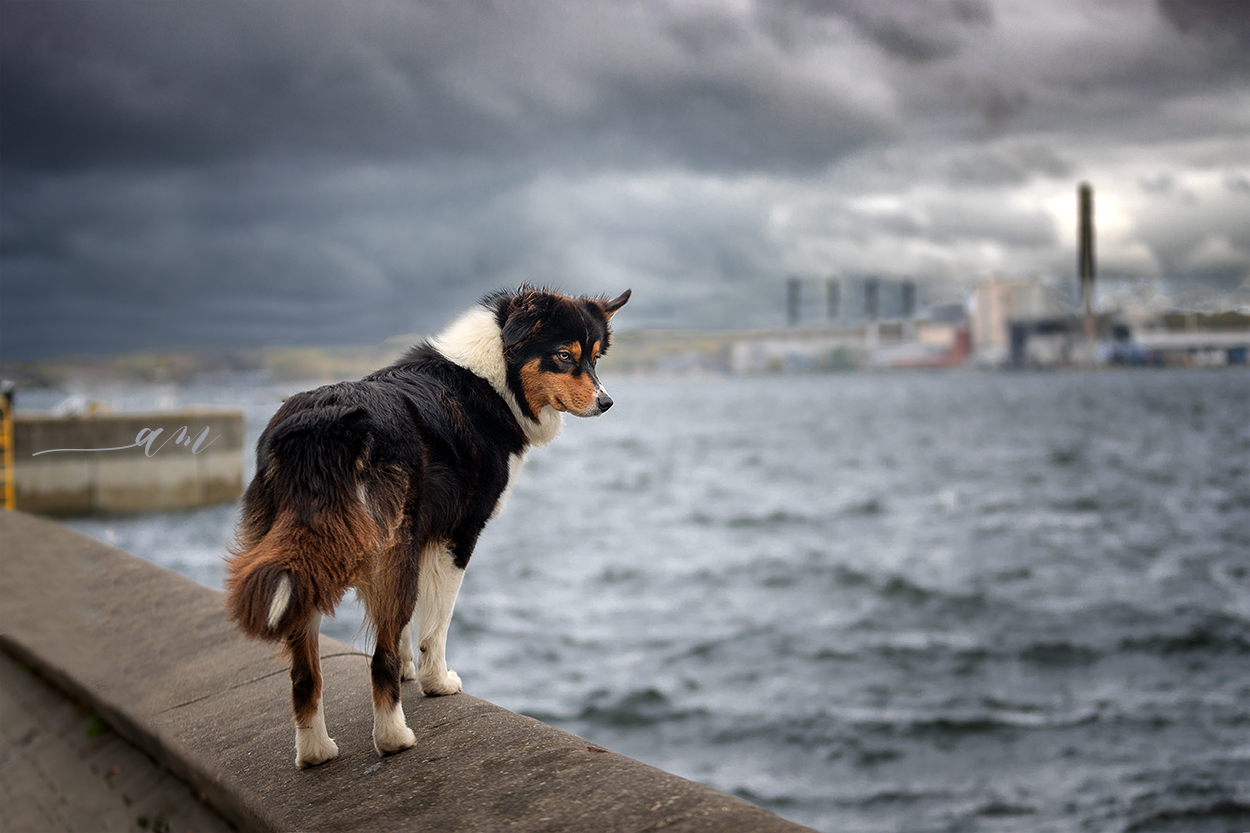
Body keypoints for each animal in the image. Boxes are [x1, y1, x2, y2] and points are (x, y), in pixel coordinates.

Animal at [225, 285, 630, 765]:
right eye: (565, 356)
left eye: (595, 357)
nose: (607, 403)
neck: (494, 377)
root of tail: (324, 428)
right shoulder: (456, 536)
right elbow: (434, 624)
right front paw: (435, 682)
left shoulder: (417, 539)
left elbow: (400, 629)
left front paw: (408, 672)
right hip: (382, 550)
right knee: (376, 660)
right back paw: (393, 738)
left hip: (310, 559)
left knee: (306, 674)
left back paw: (315, 752)